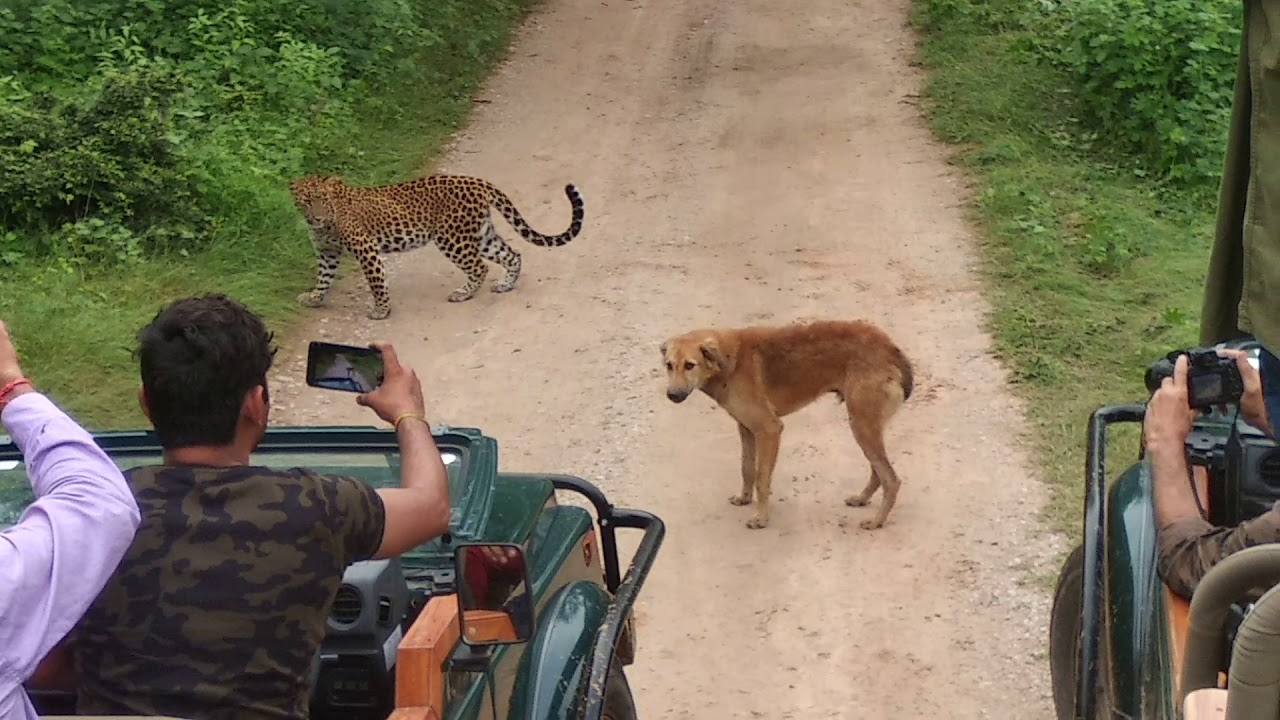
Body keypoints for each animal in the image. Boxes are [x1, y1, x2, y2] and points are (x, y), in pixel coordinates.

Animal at [289, 173, 585, 320]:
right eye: (307, 201)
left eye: (323, 200)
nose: (318, 217)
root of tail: (478, 182)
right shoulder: (327, 252)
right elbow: (324, 278)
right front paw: (314, 298)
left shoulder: (365, 248)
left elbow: (376, 282)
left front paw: (381, 311)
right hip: (482, 234)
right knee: (512, 254)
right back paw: (505, 285)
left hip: (451, 237)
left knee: (479, 267)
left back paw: (463, 293)